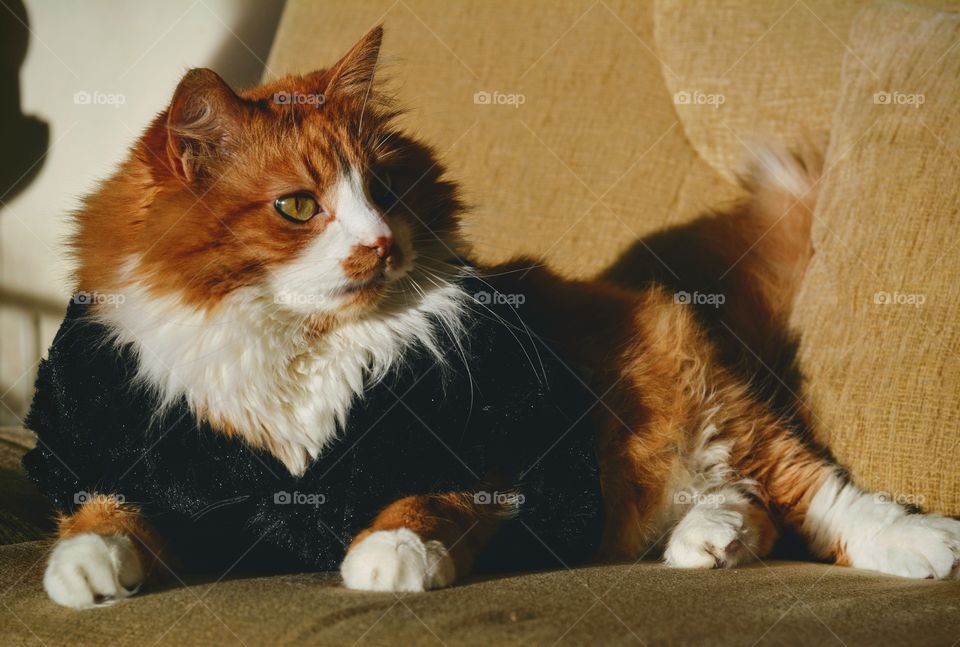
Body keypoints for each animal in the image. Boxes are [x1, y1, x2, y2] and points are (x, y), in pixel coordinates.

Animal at [31, 26, 960, 612]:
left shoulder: (498, 449)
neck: (301, 347)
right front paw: (84, 571)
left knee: (818, 492)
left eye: (385, 191)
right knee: (747, 503)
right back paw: (710, 542)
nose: (381, 245)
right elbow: (105, 511)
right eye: (298, 206)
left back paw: (920, 545)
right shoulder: (147, 463)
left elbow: (423, 498)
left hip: (708, 408)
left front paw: (387, 558)